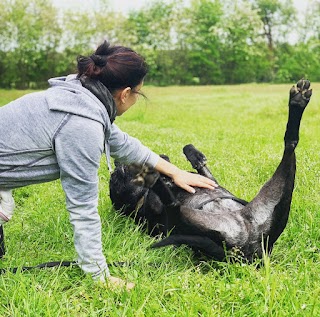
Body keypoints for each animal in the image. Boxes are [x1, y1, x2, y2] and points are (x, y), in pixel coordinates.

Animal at [110, 79, 312, 262]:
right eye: (119, 177)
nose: (117, 163)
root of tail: (246, 250)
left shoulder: (209, 180)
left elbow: (197, 162)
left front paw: (193, 154)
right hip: (183, 225)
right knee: (173, 207)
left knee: (290, 142)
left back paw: (298, 101)